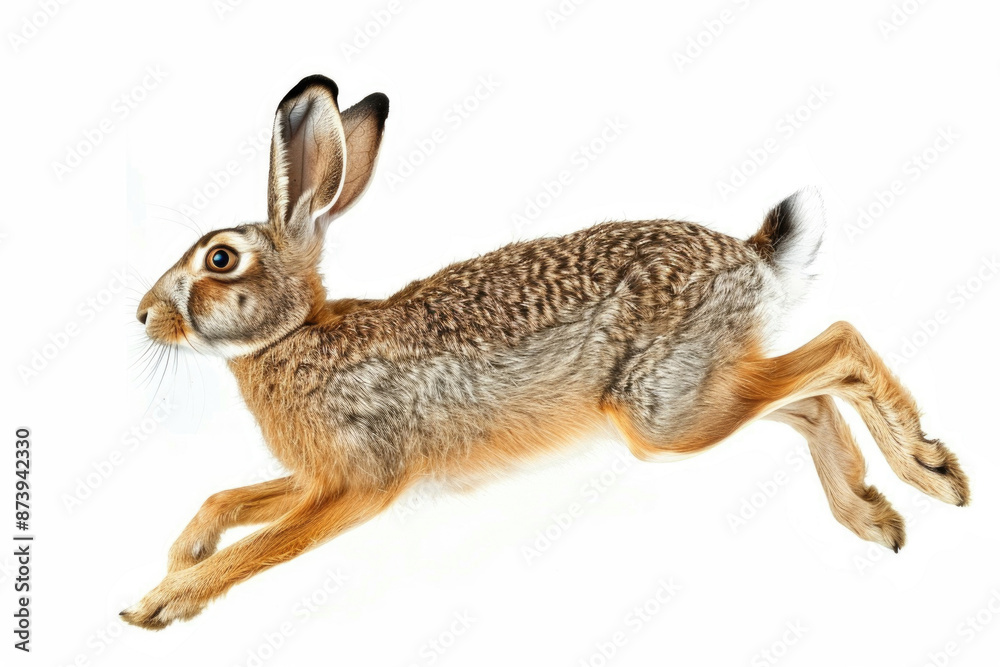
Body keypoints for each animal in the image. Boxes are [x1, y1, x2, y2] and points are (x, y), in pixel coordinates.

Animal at [123, 74, 969, 629]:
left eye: (220, 259)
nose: (142, 315)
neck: (297, 333)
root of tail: (755, 259)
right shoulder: (313, 478)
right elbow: (231, 498)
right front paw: (183, 549)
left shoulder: (360, 484)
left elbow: (265, 544)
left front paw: (161, 600)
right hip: (704, 389)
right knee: (811, 397)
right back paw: (872, 513)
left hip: (662, 414)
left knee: (841, 343)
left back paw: (931, 470)